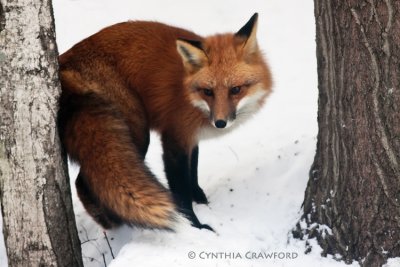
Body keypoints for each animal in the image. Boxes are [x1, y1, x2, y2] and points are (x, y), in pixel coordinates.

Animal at [57, 12, 272, 230]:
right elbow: (181, 190)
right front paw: (195, 225)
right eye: (208, 91)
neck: (192, 99)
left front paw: (200, 198)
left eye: (235, 90)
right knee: (83, 182)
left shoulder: (190, 138)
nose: (220, 122)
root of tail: (63, 62)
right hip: (136, 132)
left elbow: (192, 171)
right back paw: (115, 223)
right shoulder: (174, 138)